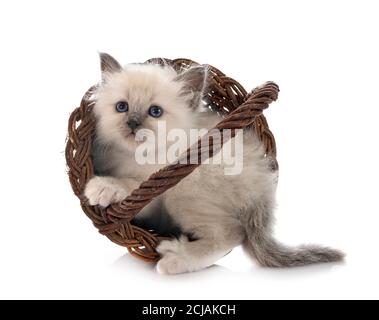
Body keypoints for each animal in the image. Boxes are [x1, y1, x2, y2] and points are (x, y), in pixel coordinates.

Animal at [84, 53, 346, 274]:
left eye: (155, 111)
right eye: (122, 107)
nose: (133, 123)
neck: (138, 155)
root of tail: (263, 188)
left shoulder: (153, 192)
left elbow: (129, 185)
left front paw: (102, 188)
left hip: (183, 195)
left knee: (232, 233)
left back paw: (176, 258)